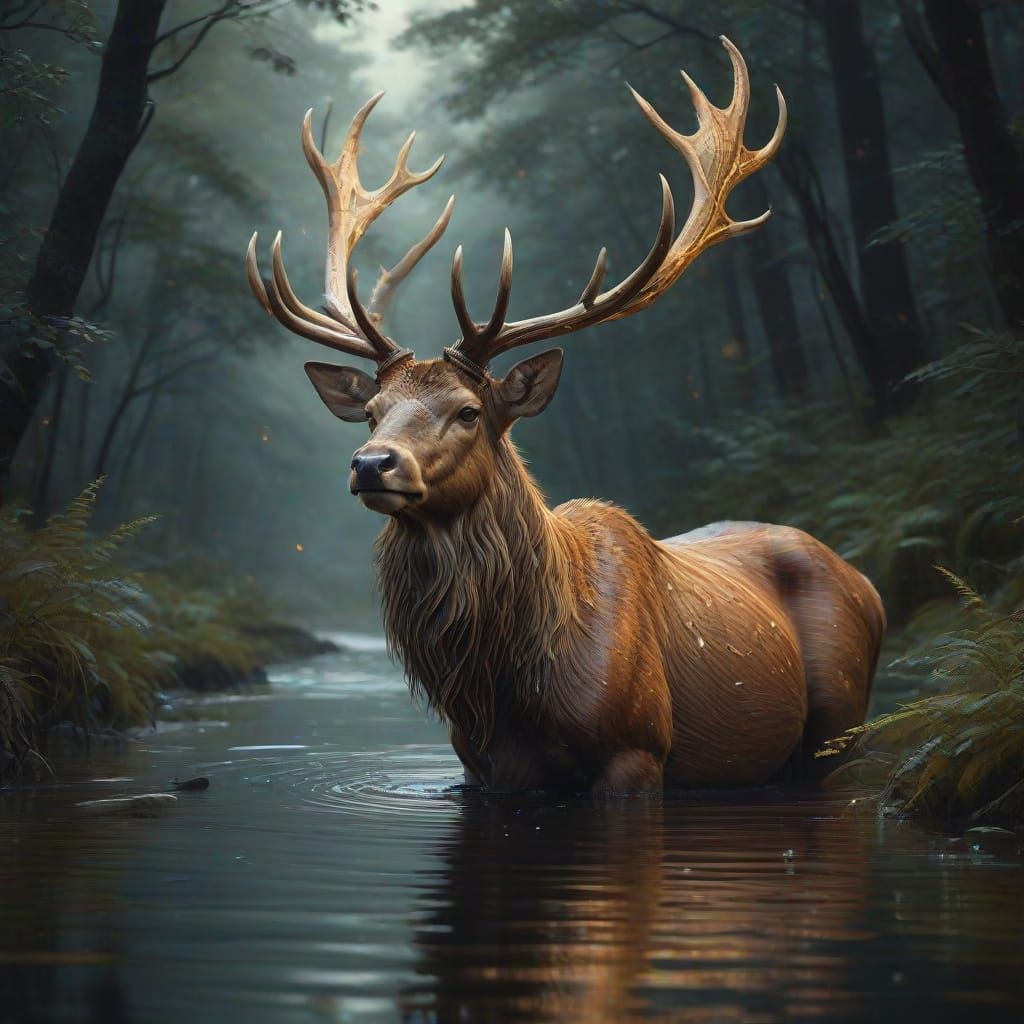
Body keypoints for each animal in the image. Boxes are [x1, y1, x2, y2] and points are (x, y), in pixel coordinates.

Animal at [246, 38, 885, 794]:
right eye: (371, 412)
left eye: (469, 411)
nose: (373, 464)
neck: (512, 689)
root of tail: (870, 586)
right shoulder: (484, 770)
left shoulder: (637, 750)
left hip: (840, 728)